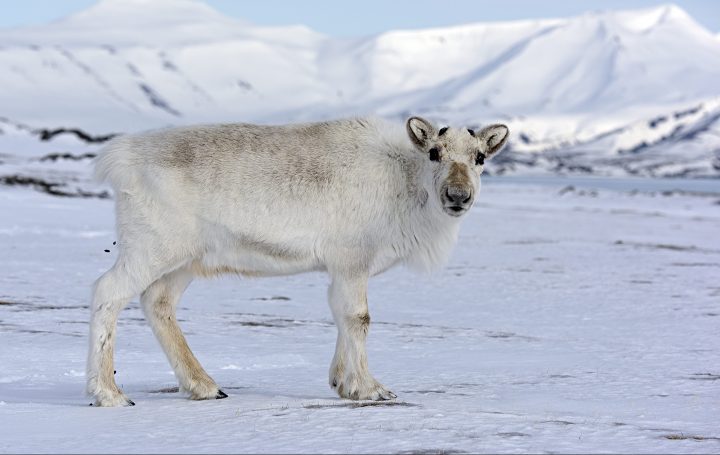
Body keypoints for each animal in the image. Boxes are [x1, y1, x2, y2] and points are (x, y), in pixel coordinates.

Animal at [87, 116, 509, 406]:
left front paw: (341, 383)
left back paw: (205, 386)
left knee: (157, 302)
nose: (458, 195)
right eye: (435, 153)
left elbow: (341, 315)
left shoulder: (342, 269)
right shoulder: (353, 260)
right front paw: (370, 388)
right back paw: (109, 393)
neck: (404, 180)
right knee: (108, 291)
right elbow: (359, 318)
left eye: (480, 157)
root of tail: (118, 157)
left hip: (185, 261)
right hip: (151, 247)